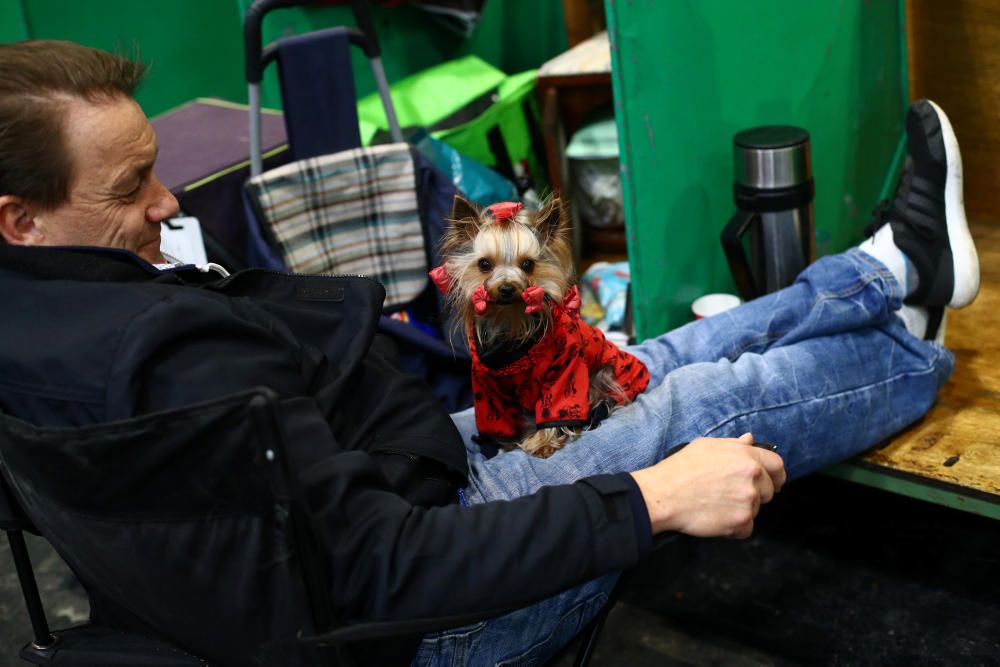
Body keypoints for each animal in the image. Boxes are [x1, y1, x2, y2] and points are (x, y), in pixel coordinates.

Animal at [428, 196, 648, 456]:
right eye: (484, 264)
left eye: (527, 264)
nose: (507, 288)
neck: (512, 320)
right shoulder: (487, 389)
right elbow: (497, 420)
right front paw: (506, 445)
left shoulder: (566, 368)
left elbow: (555, 407)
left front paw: (541, 443)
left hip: (607, 372)